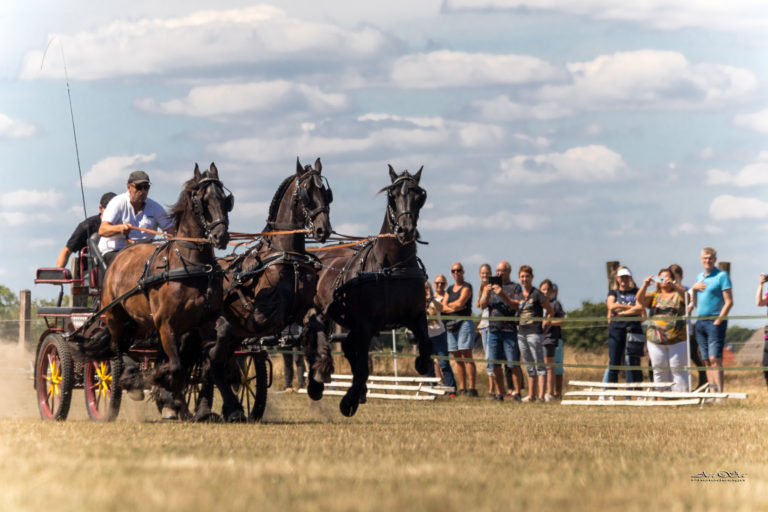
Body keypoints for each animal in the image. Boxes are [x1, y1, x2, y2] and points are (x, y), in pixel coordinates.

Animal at [302, 165, 432, 416]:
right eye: (392, 196)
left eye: (419, 196)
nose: (405, 230)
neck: (393, 267)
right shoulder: (365, 324)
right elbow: (362, 367)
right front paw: (348, 401)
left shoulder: (415, 315)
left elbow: (425, 345)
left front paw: (422, 363)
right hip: (322, 312)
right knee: (315, 333)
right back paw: (317, 381)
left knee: (344, 345)